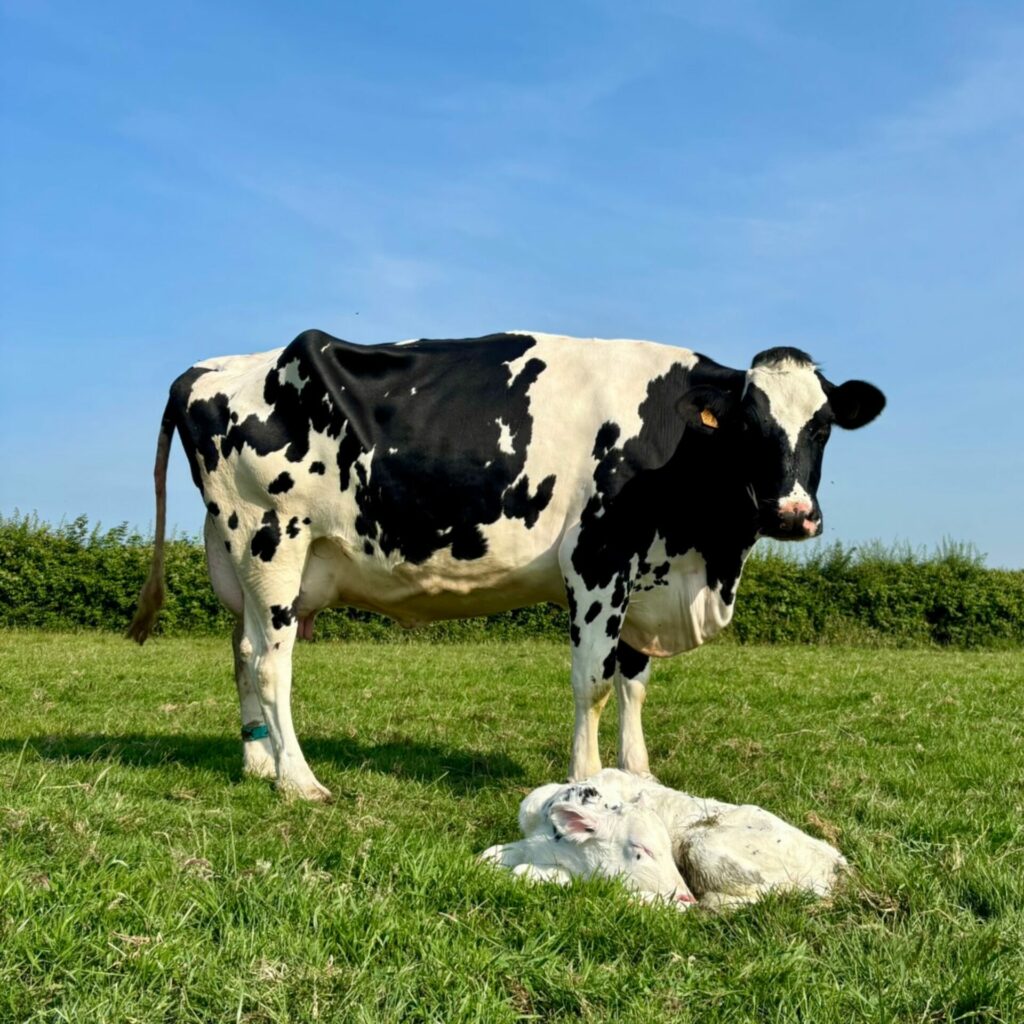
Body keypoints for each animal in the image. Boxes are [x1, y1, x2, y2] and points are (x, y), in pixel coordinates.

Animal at [128, 330, 885, 800]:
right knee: (269, 663)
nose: (792, 513)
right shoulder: (599, 558)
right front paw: (586, 779)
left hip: (242, 558)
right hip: (272, 538)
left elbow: (635, 684)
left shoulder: (646, 573)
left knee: (241, 650)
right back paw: (298, 779)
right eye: (749, 425)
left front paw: (641, 778)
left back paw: (258, 764)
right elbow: (594, 683)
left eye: (822, 427)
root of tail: (209, 368)